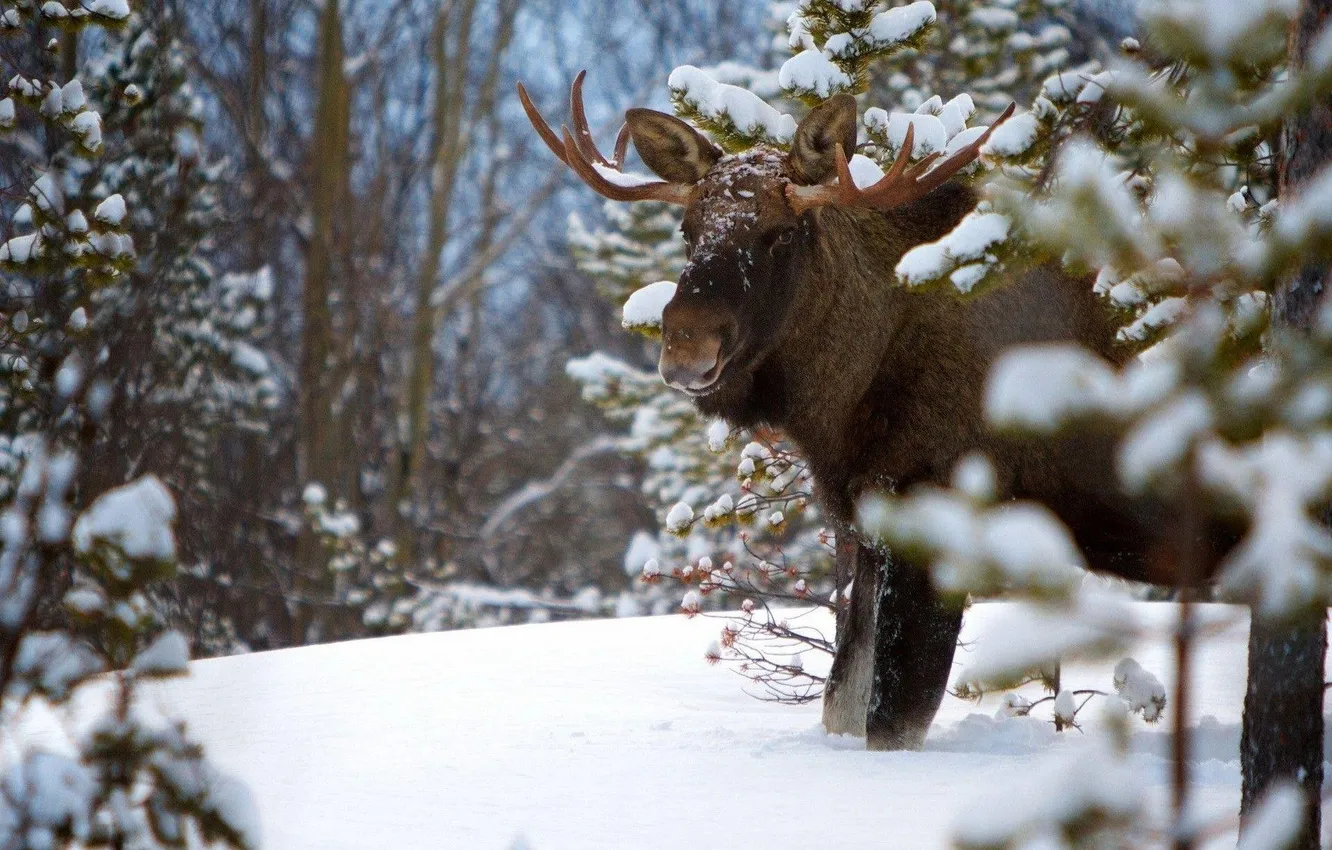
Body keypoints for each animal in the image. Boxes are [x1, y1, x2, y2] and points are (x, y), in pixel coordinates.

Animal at [518, 73, 1224, 750]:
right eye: (688, 230)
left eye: (781, 233)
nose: (687, 345)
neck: (844, 404)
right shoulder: (866, 525)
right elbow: (842, 705)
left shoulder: (938, 519)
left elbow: (892, 720)